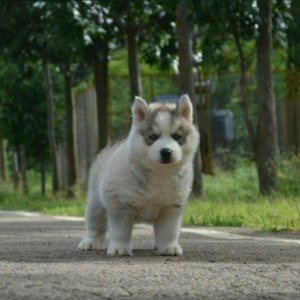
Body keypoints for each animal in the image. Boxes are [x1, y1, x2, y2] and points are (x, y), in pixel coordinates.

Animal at [78, 94, 199, 255]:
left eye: (177, 137)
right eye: (153, 137)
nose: (166, 152)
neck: (160, 173)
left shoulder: (171, 207)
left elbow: (169, 230)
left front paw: (169, 246)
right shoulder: (120, 204)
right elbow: (120, 230)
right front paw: (119, 248)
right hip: (96, 202)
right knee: (95, 223)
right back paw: (89, 242)